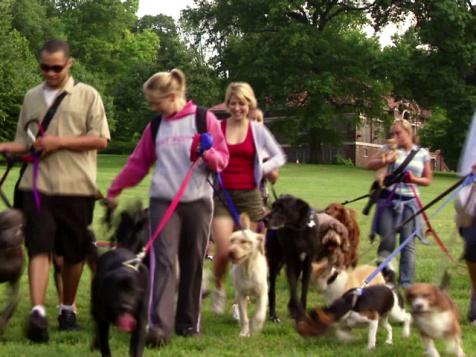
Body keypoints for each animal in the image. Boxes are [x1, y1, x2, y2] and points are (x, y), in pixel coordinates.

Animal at [90, 204, 148, 354]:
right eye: (115, 290)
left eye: (134, 291)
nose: (125, 307)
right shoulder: (103, 318)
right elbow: (104, 344)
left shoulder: (141, 320)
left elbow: (136, 346)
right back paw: (95, 344)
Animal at [264, 193, 324, 322]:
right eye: (273, 206)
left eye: (282, 208)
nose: (264, 219)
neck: (299, 230)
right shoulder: (290, 264)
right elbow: (293, 290)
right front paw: (299, 312)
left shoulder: (307, 266)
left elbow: (303, 291)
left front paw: (301, 313)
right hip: (275, 261)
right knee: (272, 290)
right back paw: (273, 315)